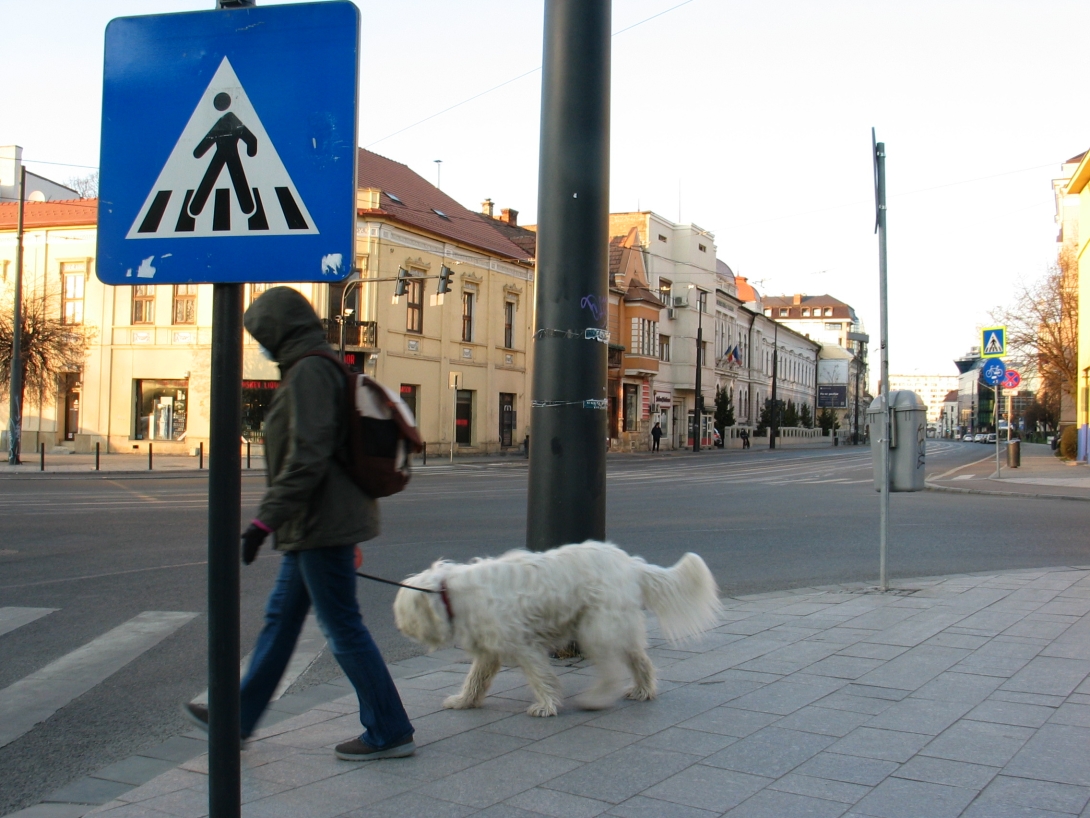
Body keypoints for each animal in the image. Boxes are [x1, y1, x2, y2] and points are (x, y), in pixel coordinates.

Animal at [394, 545, 723, 715]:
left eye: (406, 611)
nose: (401, 627)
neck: (449, 594)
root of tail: (630, 564)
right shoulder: (489, 650)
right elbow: (476, 679)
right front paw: (464, 701)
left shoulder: (524, 646)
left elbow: (541, 677)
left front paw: (546, 705)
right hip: (617, 626)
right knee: (640, 661)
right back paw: (643, 690)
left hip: (596, 629)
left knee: (612, 671)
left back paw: (596, 699)